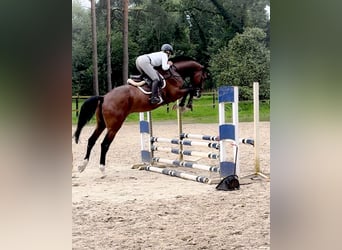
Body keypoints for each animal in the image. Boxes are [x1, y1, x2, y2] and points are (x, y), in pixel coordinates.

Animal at [74, 56, 207, 175]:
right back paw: (102, 168)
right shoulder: (175, 93)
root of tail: (104, 97)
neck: (174, 72)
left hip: (101, 124)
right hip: (114, 126)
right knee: (104, 144)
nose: (199, 93)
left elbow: (189, 90)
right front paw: (185, 105)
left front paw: (183, 105)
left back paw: (82, 166)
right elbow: (189, 89)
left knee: (91, 140)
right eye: (203, 77)